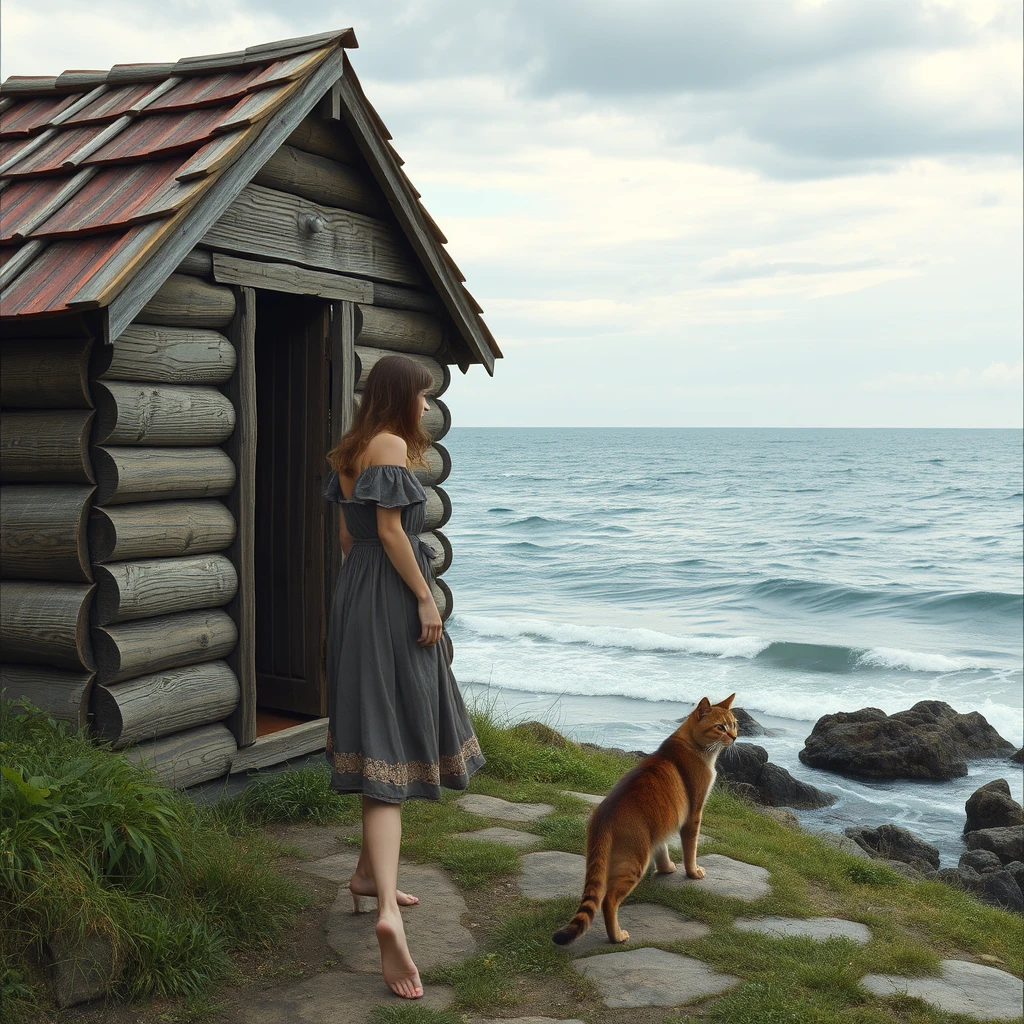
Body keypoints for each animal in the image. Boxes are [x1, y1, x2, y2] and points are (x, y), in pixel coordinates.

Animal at [552, 692, 737, 946]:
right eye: (720, 727)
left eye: (734, 724)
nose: (735, 737)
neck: (689, 744)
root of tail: (604, 813)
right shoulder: (693, 815)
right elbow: (690, 850)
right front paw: (693, 872)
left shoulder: (661, 826)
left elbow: (662, 848)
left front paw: (667, 868)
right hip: (634, 861)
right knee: (608, 900)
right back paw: (617, 936)